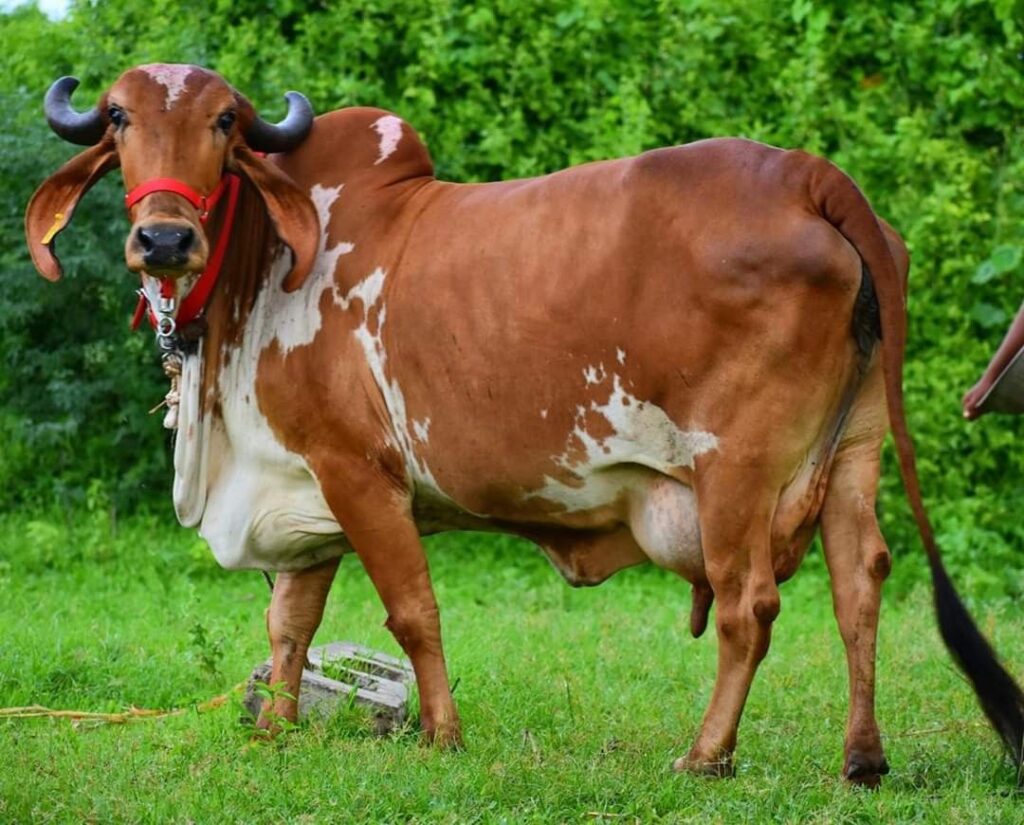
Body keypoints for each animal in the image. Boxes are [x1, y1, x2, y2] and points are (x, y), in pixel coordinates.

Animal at [25, 64, 1024, 786]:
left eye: (227, 124)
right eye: (118, 120)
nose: (163, 239)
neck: (262, 267)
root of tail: (810, 174)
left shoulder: (357, 470)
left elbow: (411, 610)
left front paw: (442, 734)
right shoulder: (299, 488)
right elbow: (290, 627)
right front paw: (275, 729)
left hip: (732, 470)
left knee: (750, 606)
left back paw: (707, 754)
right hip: (854, 451)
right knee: (860, 588)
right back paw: (862, 757)